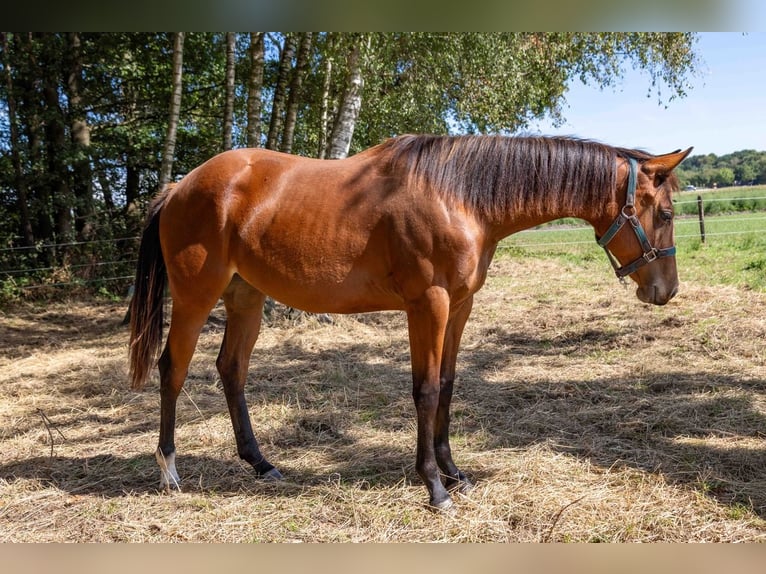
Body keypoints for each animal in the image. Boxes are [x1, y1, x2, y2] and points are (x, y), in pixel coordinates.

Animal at [128, 134, 691, 510]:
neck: (459, 195)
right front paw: (434, 486)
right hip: (196, 296)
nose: (665, 290)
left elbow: (447, 386)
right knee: (172, 369)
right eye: (664, 213)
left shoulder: (459, 308)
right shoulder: (429, 306)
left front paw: (455, 473)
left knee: (232, 371)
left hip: (245, 297)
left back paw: (261, 464)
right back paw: (169, 471)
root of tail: (181, 185)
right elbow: (425, 390)